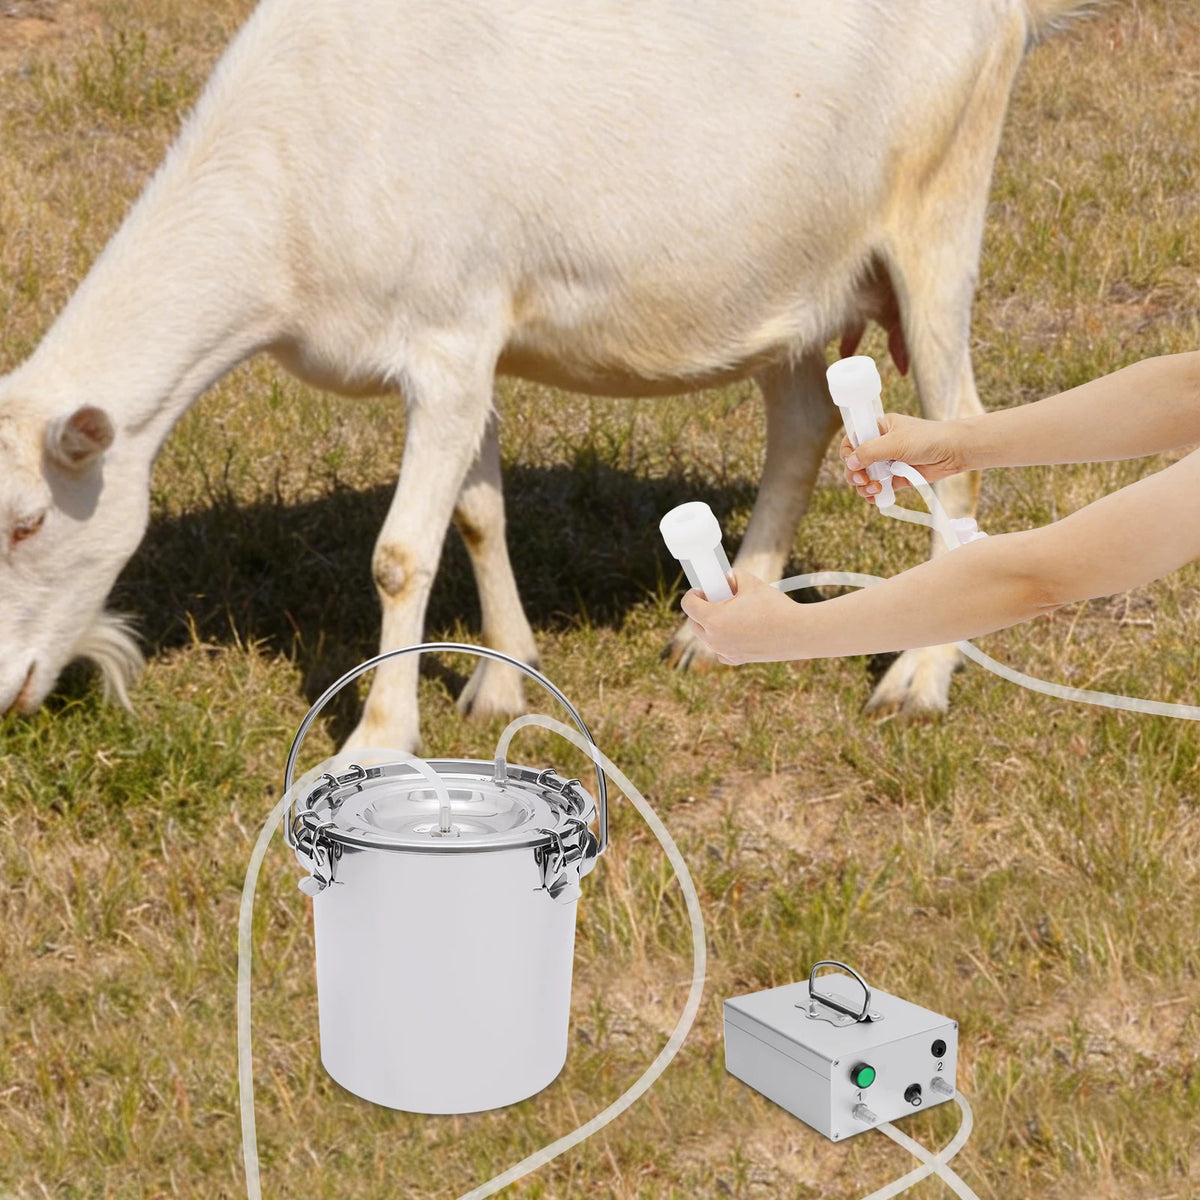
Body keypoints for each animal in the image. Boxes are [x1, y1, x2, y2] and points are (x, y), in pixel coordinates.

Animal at [0, 0, 1088, 749]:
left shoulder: (445, 336)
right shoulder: (473, 342)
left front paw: (379, 740)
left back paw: (917, 679)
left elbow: (400, 553)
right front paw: (498, 685)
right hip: (788, 275)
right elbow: (479, 516)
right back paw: (729, 625)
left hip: (939, 211)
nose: (9, 692)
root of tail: (1009, 14)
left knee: (959, 431)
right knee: (801, 421)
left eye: (27, 522)